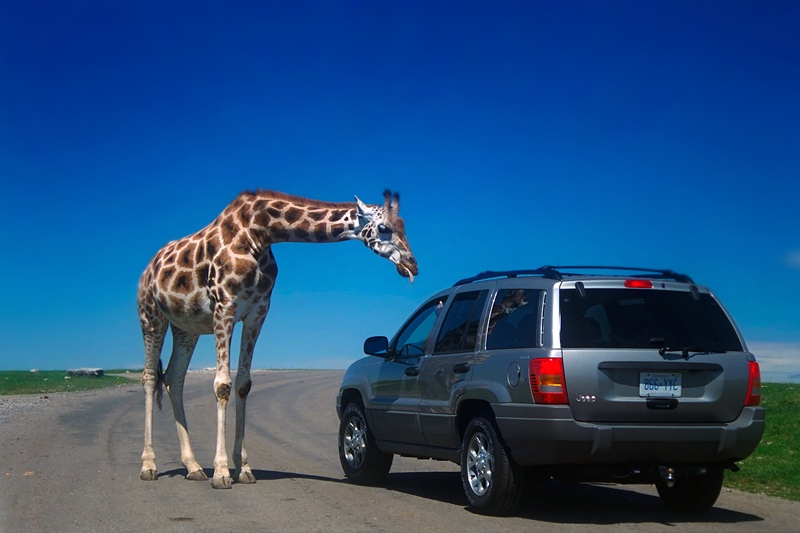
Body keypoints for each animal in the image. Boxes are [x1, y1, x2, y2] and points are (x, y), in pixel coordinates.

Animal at [137, 189, 418, 489]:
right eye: (384, 228)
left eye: (404, 226)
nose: (412, 265)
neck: (260, 233)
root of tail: (148, 269)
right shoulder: (224, 307)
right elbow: (222, 385)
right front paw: (222, 472)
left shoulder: (257, 312)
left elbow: (243, 384)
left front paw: (244, 469)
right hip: (151, 316)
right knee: (150, 377)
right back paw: (149, 466)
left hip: (185, 328)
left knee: (174, 377)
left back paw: (193, 467)